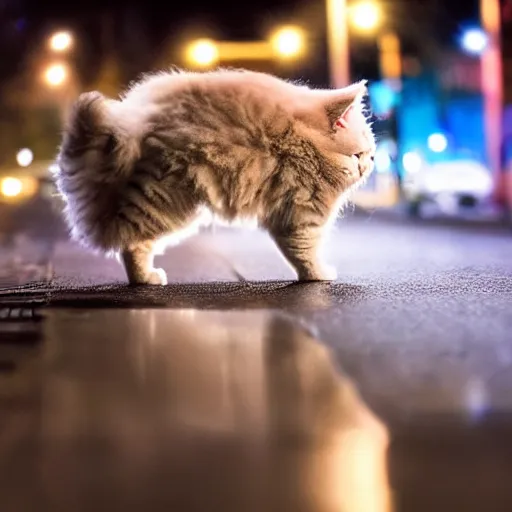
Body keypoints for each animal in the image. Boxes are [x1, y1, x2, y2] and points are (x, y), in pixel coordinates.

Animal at [55, 68, 376, 284]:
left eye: (370, 154)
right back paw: (145, 278)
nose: (371, 162)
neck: (304, 140)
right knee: (131, 242)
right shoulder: (301, 211)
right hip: (165, 201)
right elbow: (305, 253)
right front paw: (319, 276)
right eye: (358, 155)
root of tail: (135, 123)